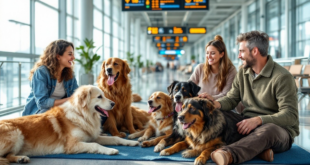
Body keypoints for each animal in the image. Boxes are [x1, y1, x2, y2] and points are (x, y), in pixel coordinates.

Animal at [0, 85, 139, 164]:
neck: (82, 114)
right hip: (16, 133)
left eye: (104, 95)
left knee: (9, 155)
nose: (113, 104)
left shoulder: (92, 136)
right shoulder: (72, 145)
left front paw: (130, 142)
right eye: (99, 97)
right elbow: (95, 145)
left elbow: (115, 138)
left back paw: (20, 158)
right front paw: (110, 150)